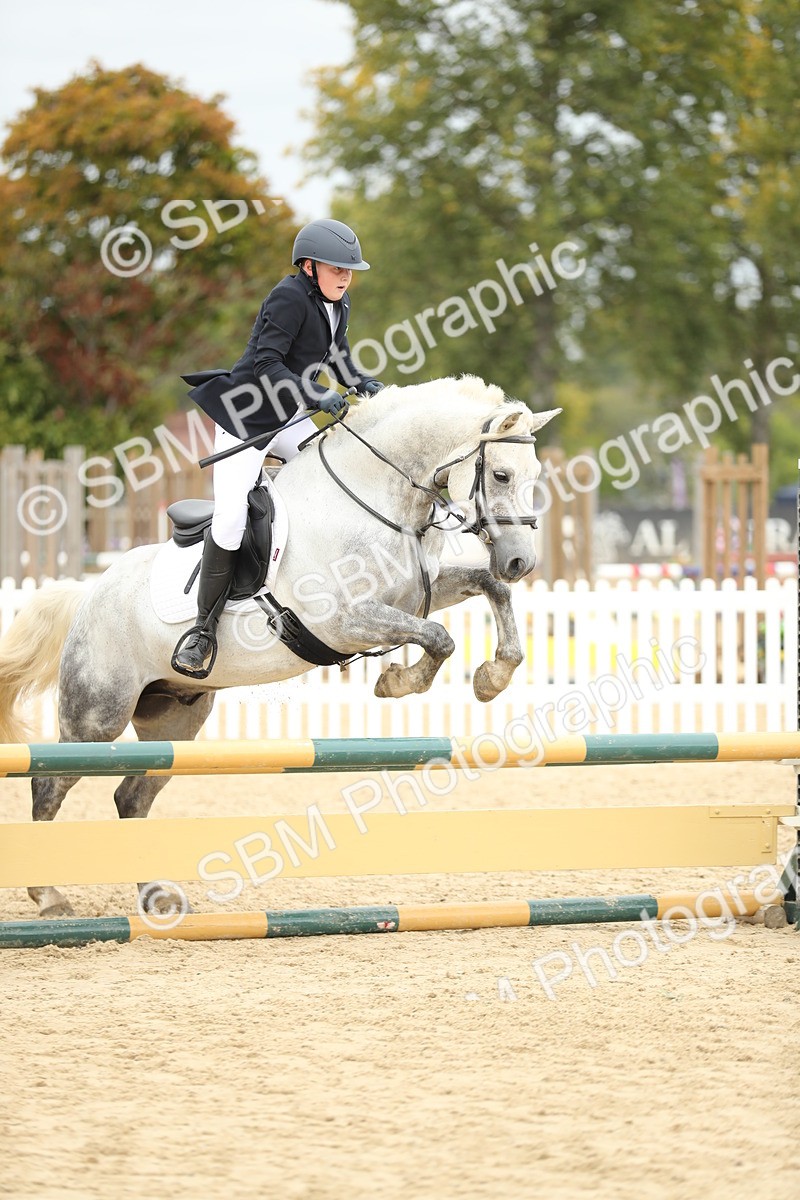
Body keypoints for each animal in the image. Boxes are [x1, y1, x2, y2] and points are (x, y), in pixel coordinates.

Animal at [0, 375, 560, 917]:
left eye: (534, 475)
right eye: (502, 476)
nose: (520, 562)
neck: (379, 498)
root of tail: (89, 591)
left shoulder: (418, 595)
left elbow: (488, 592)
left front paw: (492, 677)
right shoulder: (344, 621)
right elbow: (439, 639)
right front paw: (399, 682)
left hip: (175, 718)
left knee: (132, 797)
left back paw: (155, 896)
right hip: (98, 715)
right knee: (50, 783)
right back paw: (49, 896)